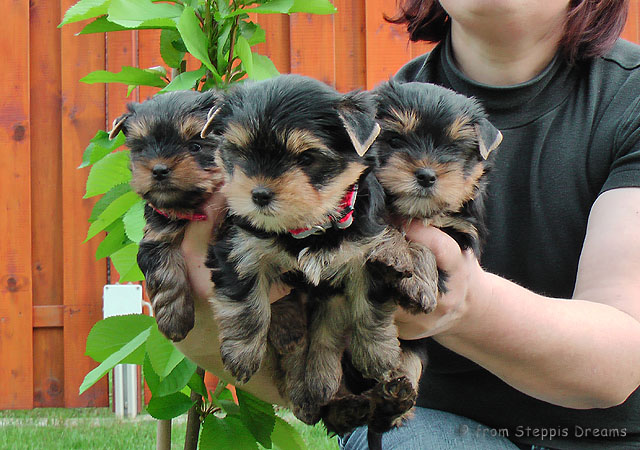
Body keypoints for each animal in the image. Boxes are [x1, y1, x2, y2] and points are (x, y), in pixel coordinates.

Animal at [108, 90, 223, 342]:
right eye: (142, 148)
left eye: (195, 146)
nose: (159, 169)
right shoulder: (156, 235)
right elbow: (163, 270)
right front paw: (174, 319)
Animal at [201, 74, 420, 424]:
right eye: (241, 153)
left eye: (306, 158)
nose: (259, 194)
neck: (310, 227)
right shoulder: (239, 246)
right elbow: (247, 303)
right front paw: (242, 353)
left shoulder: (365, 254)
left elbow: (365, 309)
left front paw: (377, 353)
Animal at [321, 81, 502, 444]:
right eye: (394, 141)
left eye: (454, 149)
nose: (427, 175)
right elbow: (388, 231)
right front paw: (395, 253)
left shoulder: (459, 234)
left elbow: (426, 246)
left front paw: (417, 283)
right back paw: (346, 409)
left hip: (413, 351)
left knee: (406, 368)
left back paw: (395, 400)